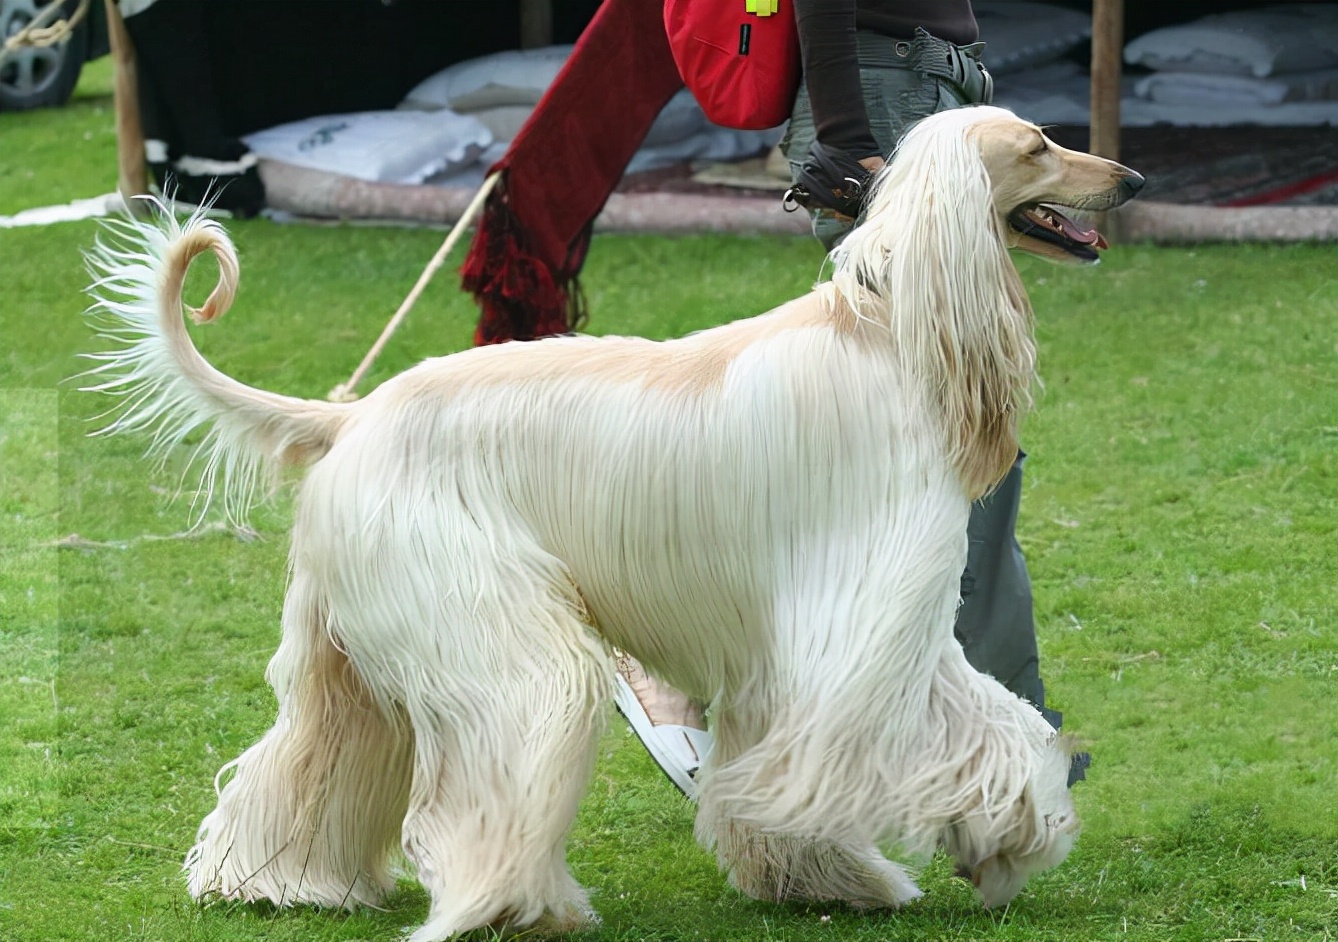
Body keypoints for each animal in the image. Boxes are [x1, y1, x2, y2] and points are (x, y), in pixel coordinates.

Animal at [86, 107, 1139, 936]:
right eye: (1039, 146)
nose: (1130, 180)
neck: (889, 332)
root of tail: (350, 416)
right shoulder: (860, 610)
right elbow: (872, 744)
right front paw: (873, 860)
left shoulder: (842, 621)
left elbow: (989, 722)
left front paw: (977, 842)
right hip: (480, 617)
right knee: (511, 737)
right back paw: (512, 903)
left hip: (349, 642)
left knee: (309, 756)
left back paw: (273, 882)